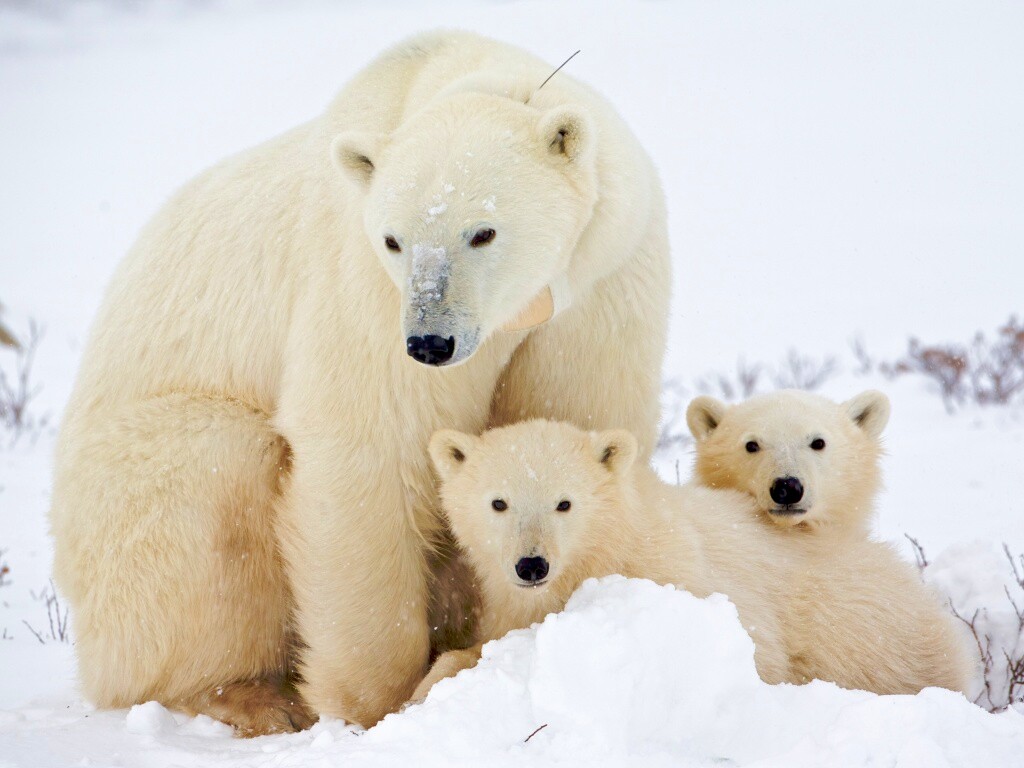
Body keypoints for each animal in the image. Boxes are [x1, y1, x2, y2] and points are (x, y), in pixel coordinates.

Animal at [49, 31, 671, 733]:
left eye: (483, 231)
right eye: (394, 239)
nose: (430, 342)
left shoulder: (601, 281)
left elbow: (573, 416)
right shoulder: (363, 284)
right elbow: (369, 446)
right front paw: (378, 702)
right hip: (126, 499)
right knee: (214, 483)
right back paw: (250, 696)